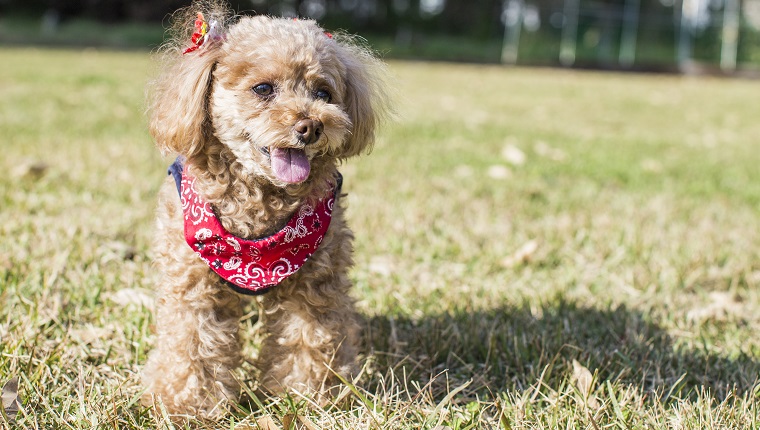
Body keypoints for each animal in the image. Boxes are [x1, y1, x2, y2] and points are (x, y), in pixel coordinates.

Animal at [142, 1, 388, 418]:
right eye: (263, 89)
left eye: (323, 92)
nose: (311, 126)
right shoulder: (193, 282)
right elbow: (193, 341)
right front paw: (189, 404)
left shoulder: (315, 283)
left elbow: (309, 337)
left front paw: (306, 395)